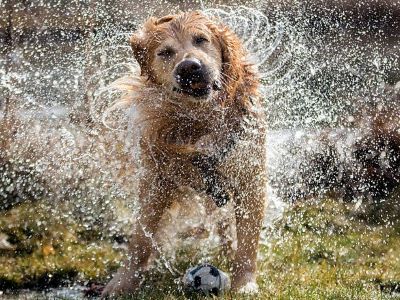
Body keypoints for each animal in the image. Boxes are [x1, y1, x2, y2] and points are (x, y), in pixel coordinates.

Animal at [101, 10, 268, 296]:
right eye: (165, 53)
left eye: (201, 39)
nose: (189, 66)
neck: (200, 120)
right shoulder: (156, 181)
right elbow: (140, 239)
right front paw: (123, 282)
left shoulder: (250, 177)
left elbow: (248, 242)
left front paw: (244, 283)